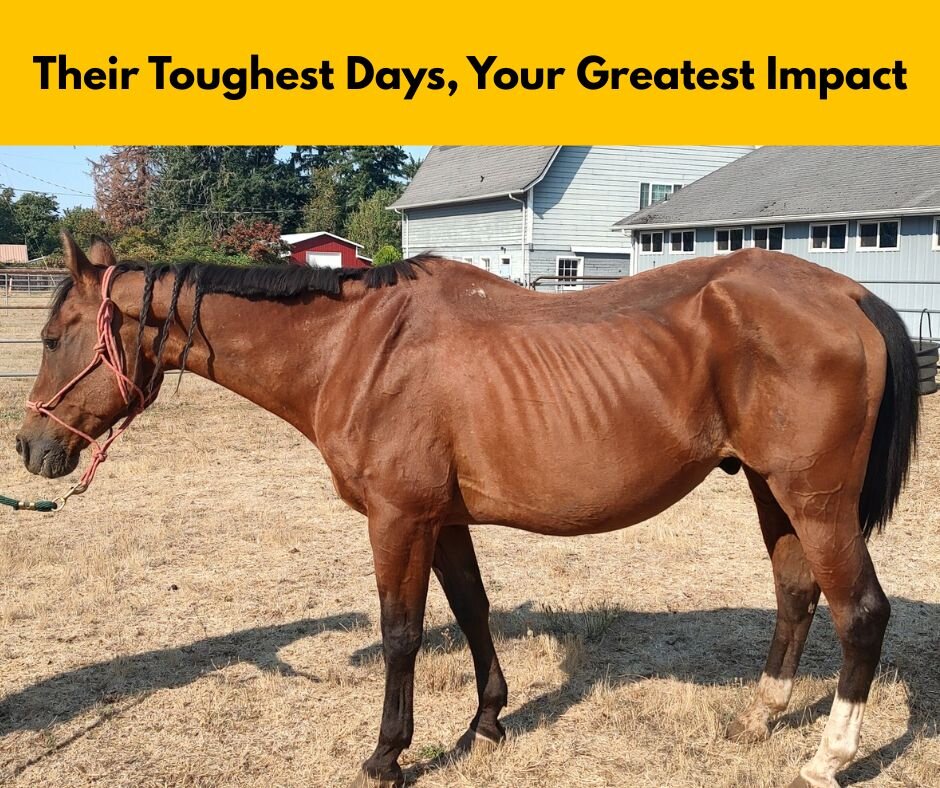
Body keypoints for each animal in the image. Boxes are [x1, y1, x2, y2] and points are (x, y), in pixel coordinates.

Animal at [14, 232, 919, 788]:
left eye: (56, 337)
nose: (30, 448)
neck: (355, 347)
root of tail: (849, 294)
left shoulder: (398, 520)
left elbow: (402, 634)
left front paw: (387, 754)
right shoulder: (442, 520)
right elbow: (474, 610)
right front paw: (485, 723)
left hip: (817, 501)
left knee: (862, 614)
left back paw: (827, 758)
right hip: (774, 492)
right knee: (797, 597)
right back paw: (756, 721)